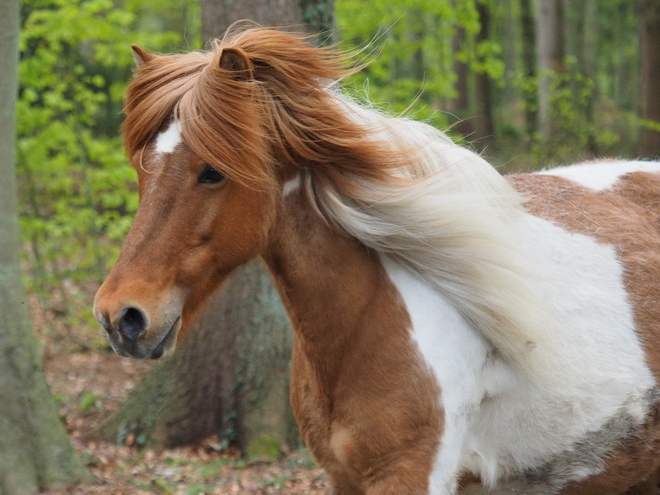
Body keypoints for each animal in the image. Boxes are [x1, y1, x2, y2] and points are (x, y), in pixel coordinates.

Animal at [94, 27, 660, 495]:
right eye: (142, 168)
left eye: (212, 172)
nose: (121, 316)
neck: (365, 323)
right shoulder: (343, 478)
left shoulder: (411, 476)